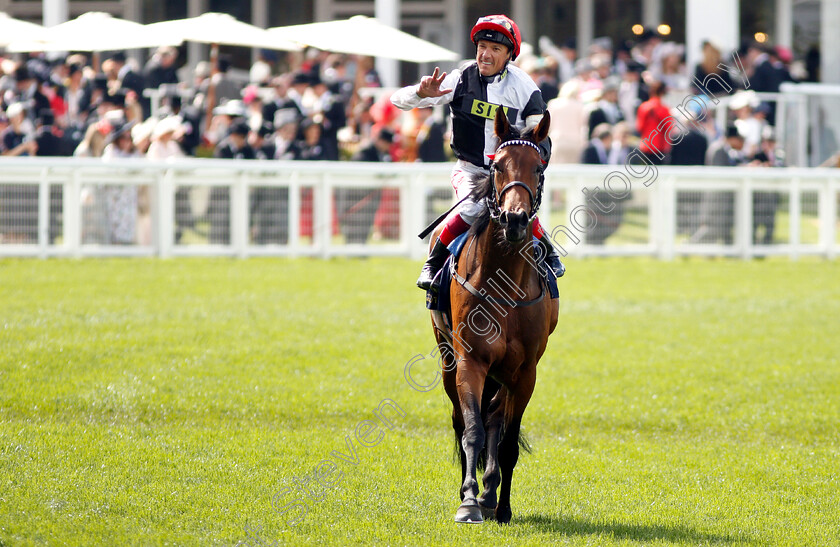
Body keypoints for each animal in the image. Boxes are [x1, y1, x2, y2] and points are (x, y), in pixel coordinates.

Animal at [434, 108, 556, 528]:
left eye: (538, 167)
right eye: (498, 166)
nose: (515, 219)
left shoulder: (526, 371)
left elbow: (506, 441)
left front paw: (500, 506)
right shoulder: (470, 359)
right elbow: (470, 430)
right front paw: (469, 501)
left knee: (496, 420)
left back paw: (490, 492)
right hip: (448, 357)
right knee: (463, 420)